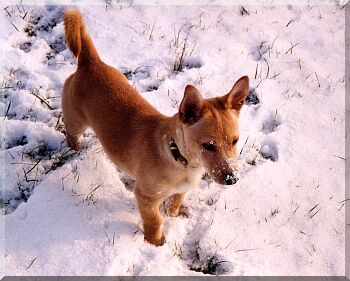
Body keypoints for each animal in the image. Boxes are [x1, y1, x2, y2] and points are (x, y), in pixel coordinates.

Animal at [62, 7, 249, 245]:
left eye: (235, 141)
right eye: (208, 145)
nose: (232, 179)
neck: (180, 160)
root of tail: (90, 61)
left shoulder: (180, 191)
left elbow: (174, 204)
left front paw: (176, 216)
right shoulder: (146, 196)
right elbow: (155, 221)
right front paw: (156, 243)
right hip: (75, 121)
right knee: (70, 134)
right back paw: (74, 149)